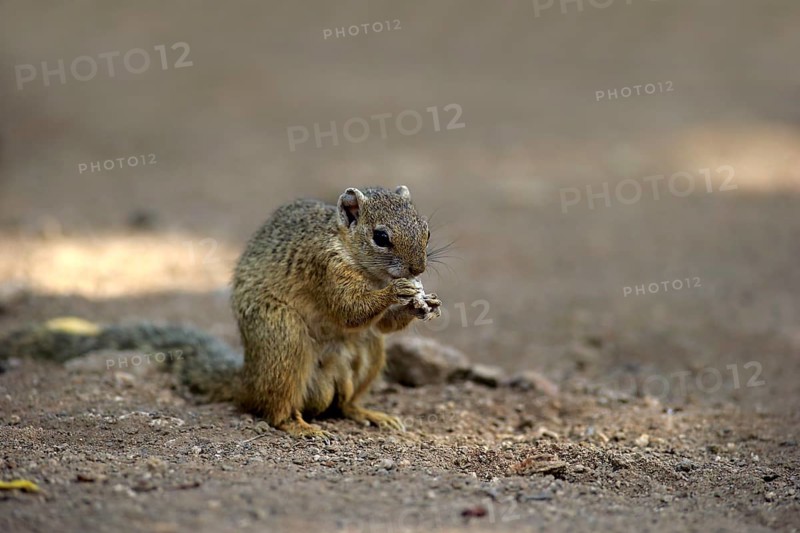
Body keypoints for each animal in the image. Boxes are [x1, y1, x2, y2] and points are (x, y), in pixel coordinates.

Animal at [0, 185, 441, 438]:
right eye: (380, 236)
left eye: (426, 228)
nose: (418, 269)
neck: (351, 252)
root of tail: (246, 378)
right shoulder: (323, 268)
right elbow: (349, 308)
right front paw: (399, 291)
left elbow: (381, 324)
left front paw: (423, 304)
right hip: (284, 340)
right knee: (273, 410)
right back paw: (300, 427)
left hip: (368, 353)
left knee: (345, 403)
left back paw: (370, 413)